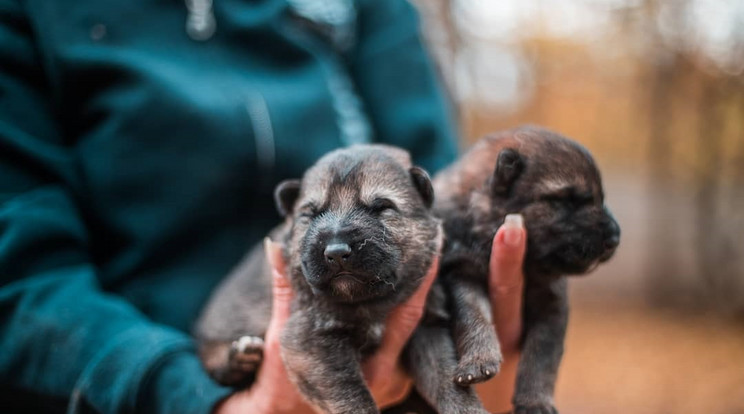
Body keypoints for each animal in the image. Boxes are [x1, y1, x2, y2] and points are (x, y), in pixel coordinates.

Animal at [195, 143, 444, 414]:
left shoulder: (426, 329)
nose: (336, 252)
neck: (367, 303)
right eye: (311, 214)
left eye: (382, 207)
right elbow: (350, 394)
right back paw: (239, 359)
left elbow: (443, 378)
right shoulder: (310, 341)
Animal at [410, 126, 620, 414]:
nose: (616, 237)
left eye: (601, 199)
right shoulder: (462, 273)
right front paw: (479, 361)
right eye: (567, 200)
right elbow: (473, 315)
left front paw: (535, 401)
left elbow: (542, 354)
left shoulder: (551, 301)